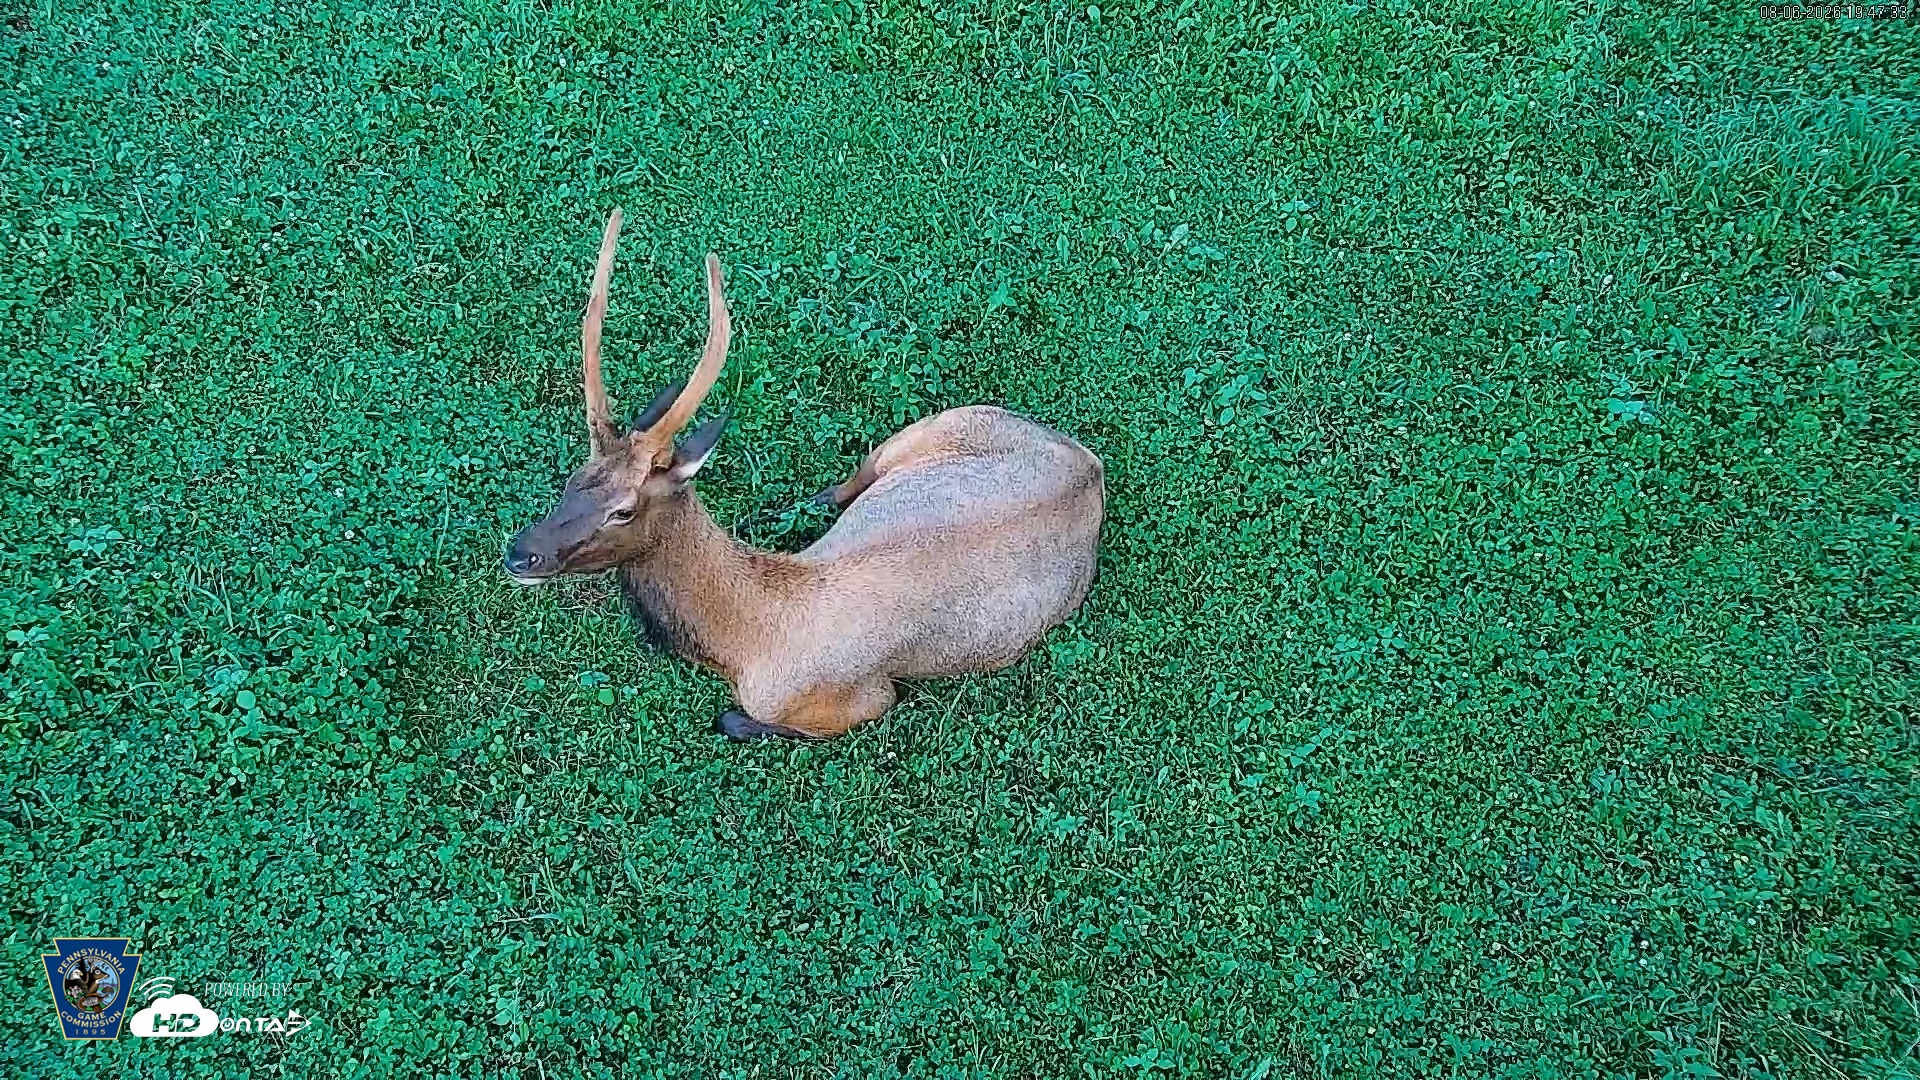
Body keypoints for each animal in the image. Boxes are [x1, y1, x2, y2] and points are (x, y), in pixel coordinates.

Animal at [503, 210, 1105, 740]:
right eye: (573, 479)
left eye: (623, 509)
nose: (519, 554)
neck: (742, 644)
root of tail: (1091, 464)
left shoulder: (867, 699)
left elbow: (734, 721)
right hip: (926, 430)